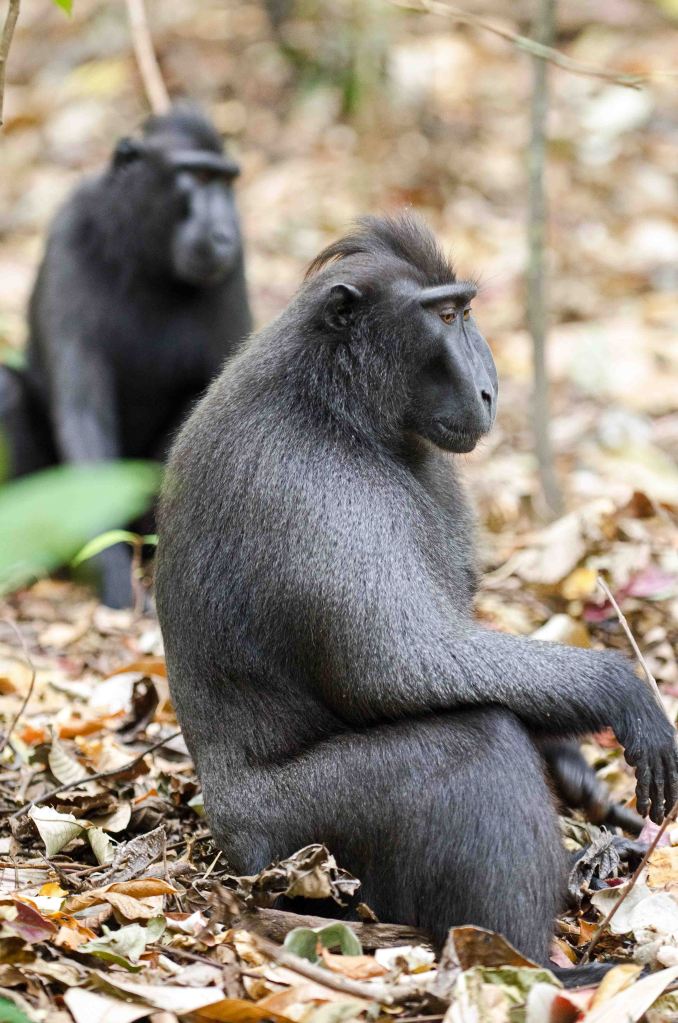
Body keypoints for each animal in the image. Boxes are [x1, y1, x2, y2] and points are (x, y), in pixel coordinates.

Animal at [0, 106, 252, 608]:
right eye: (197, 176)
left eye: (226, 181)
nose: (223, 232)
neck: (148, 261)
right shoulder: (70, 235)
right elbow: (81, 408)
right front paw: (112, 574)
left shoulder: (234, 269)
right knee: (8, 391)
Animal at [154, 215, 677, 964]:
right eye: (446, 316)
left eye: (465, 309)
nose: (489, 390)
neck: (333, 400)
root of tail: (228, 844)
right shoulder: (313, 486)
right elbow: (390, 665)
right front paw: (622, 692)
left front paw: (574, 769)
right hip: (298, 838)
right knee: (477, 743)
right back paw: (528, 964)